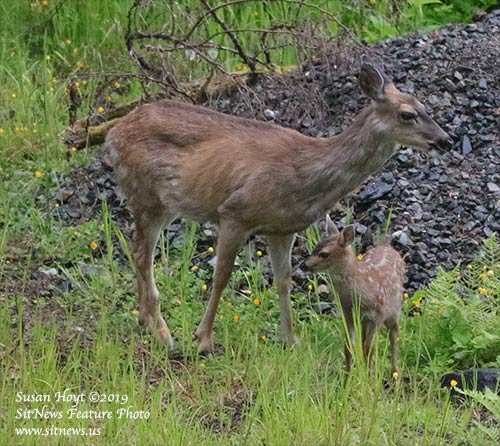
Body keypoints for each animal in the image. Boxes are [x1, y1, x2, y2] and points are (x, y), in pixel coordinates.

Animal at [106, 61, 454, 352]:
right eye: (407, 114)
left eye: (425, 106)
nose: (446, 140)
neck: (305, 173)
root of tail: (112, 134)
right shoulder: (234, 213)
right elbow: (221, 276)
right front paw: (203, 339)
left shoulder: (282, 229)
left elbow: (283, 281)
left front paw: (292, 340)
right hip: (147, 194)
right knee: (142, 255)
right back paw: (163, 333)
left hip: (159, 203)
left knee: (136, 248)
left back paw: (145, 321)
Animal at [304, 214, 406, 374]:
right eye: (315, 247)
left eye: (324, 254)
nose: (305, 265)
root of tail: (389, 247)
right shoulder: (348, 315)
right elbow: (348, 347)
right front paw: (347, 377)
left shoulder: (377, 315)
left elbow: (369, 350)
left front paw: (369, 378)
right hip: (364, 321)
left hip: (394, 308)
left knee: (394, 333)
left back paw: (394, 373)